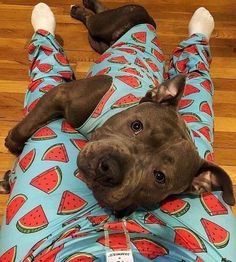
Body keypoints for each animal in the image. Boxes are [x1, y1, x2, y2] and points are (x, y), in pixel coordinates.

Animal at [3, 0, 234, 217]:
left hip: (99, 41)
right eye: (136, 125)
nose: (109, 169)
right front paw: (13, 143)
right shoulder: (61, 94)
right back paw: (78, 8)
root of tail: (148, 20)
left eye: (159, 177)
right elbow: (28, 124)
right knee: (93, 17)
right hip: (104, 24)